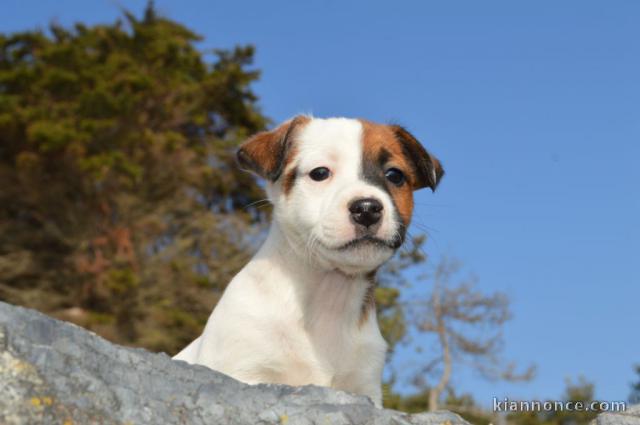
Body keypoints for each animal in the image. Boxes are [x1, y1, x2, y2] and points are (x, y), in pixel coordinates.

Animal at [175, 115, 444, 404]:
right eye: (320, 173)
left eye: (395, 175)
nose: (367, 209)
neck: (328, 295)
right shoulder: (243, 371)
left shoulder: (364, 388)